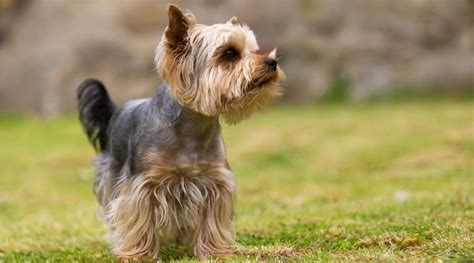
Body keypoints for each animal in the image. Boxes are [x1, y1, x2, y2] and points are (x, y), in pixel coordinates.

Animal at [77, 3, 284, 260]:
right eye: (229, 53)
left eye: (253, 50)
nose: (272, 62)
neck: (192, 129)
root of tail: (117, 110)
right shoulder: (143, 185)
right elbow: (138, 218)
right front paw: (138, 254)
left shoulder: (214, 181)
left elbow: (212, 220)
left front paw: (215, 251)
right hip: (110, 175)